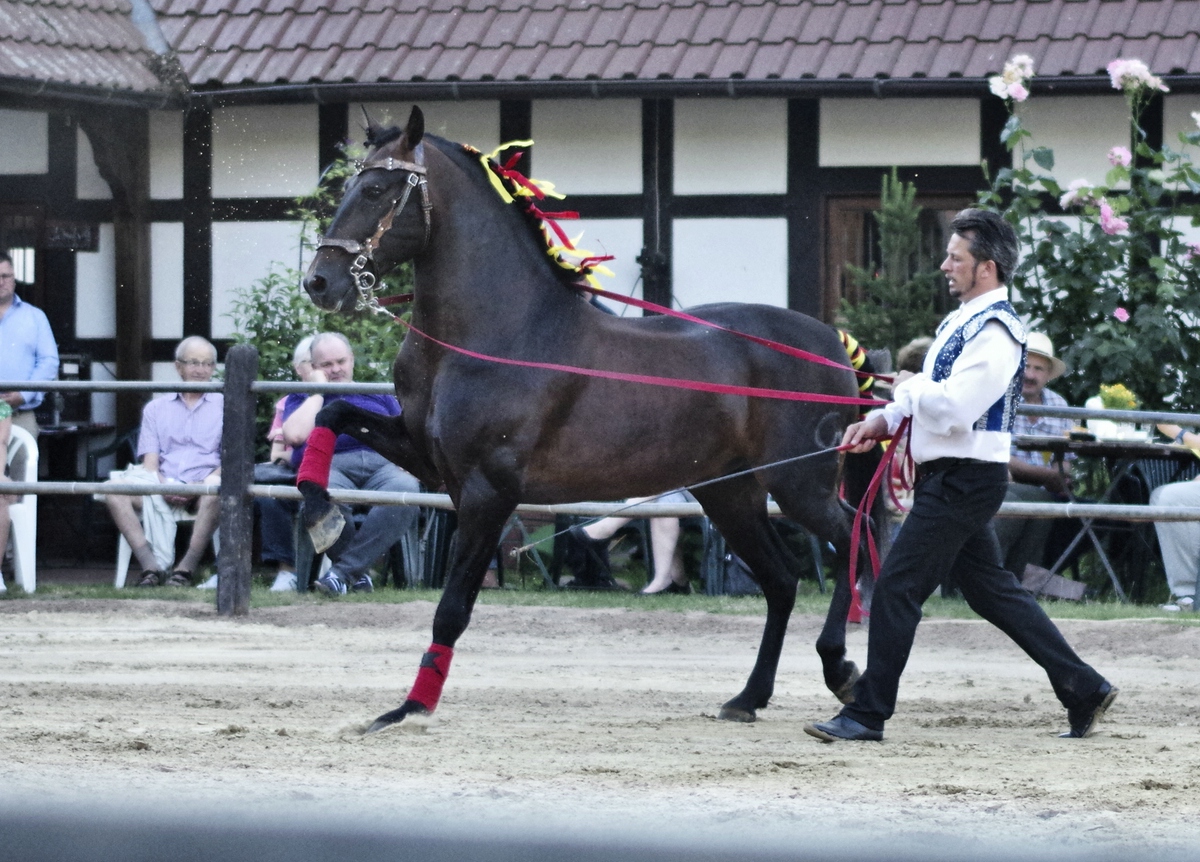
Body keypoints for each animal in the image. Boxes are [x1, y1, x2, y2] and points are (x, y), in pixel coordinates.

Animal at [296, 104, 868, 734]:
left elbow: (451, 609)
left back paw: (843, 671)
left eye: (376, 190)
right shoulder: (428, 459)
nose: (319, 282)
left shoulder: (488, 491)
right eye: (349, 186)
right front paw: (323, 518)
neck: (496, 334)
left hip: (799, 484)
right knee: (783, 579)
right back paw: (749, 697)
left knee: (857, 537)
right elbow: (334, 412)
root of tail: (834, 347)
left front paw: (409, 706)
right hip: (730, 493)